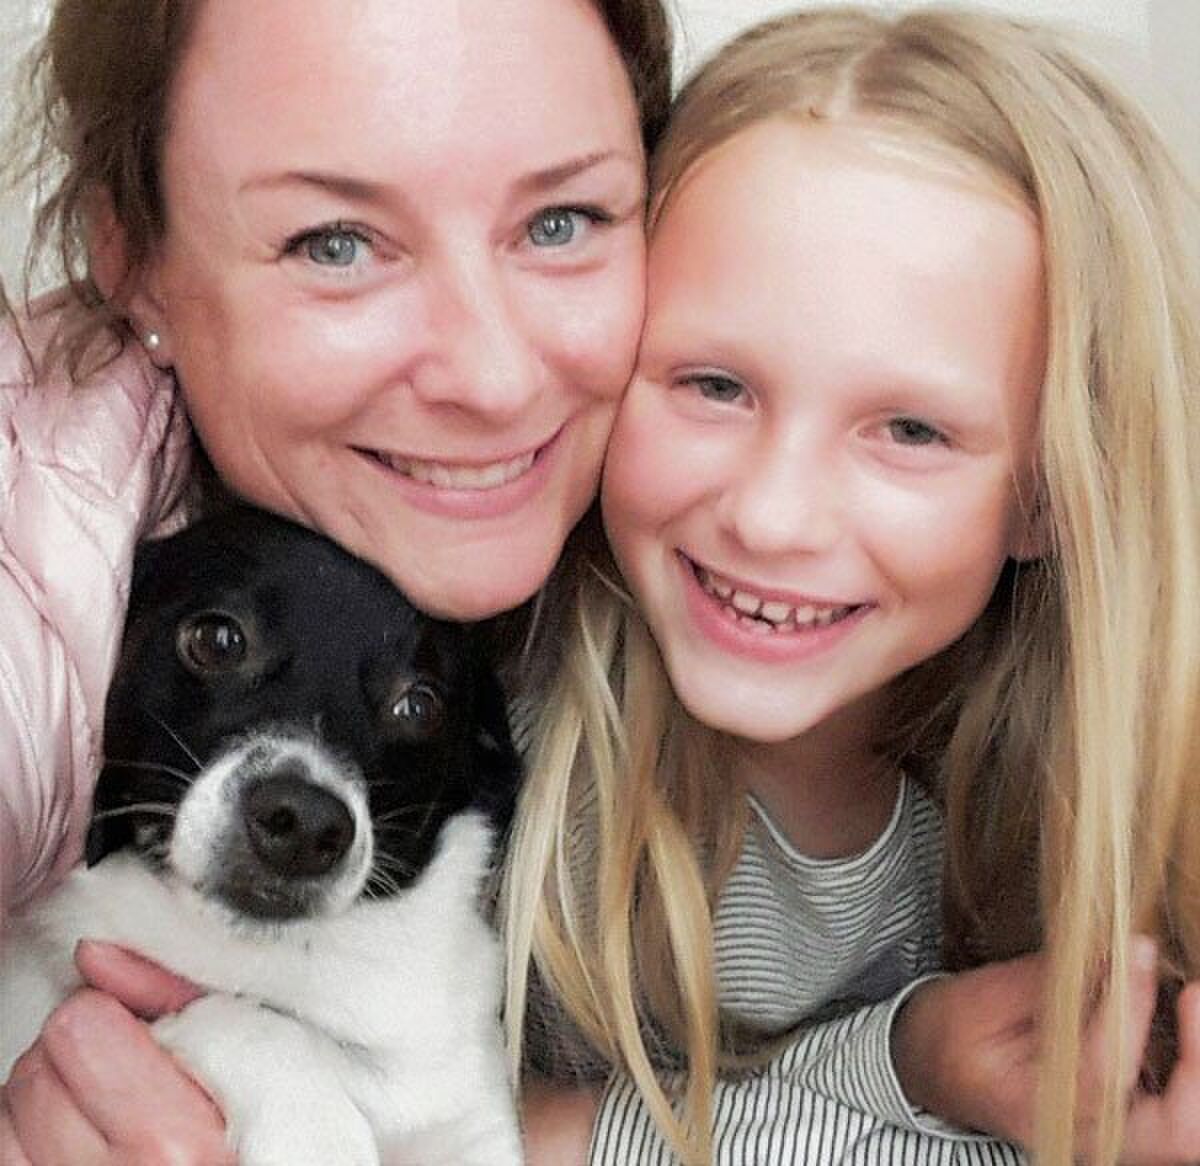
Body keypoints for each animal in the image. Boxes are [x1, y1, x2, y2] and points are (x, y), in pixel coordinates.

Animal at [0, 506, 524, 1165]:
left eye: (420, 705)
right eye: (217, 640)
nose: (303, 824)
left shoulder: (470, 1127)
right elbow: (244, 1018)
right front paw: (314, 1131)